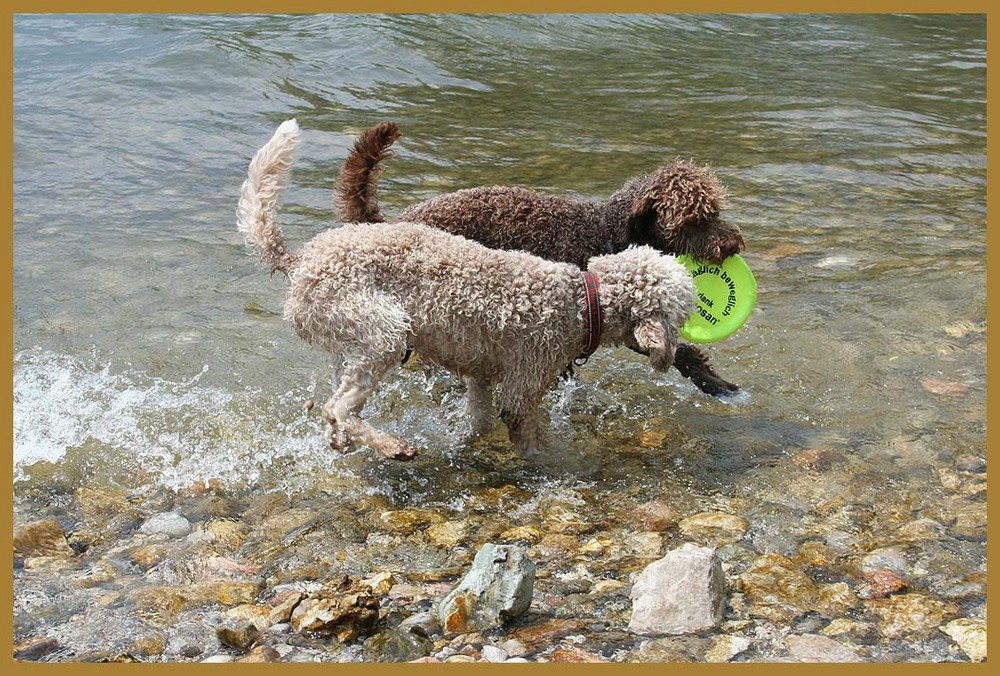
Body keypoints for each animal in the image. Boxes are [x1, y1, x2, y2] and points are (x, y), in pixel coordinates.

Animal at [240, 120, 696, 460]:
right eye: (682, 313)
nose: (675, 352)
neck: (583, 300)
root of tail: (300, 258)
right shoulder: (522, 386)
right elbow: (531, 437)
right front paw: (563, 463)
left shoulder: (480, 375)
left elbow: (477, 420)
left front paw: (463, 443)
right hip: (381, 333)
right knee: (338, 407)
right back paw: (392, 446)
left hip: (347, 343)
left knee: (335, 410)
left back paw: (346, 442)